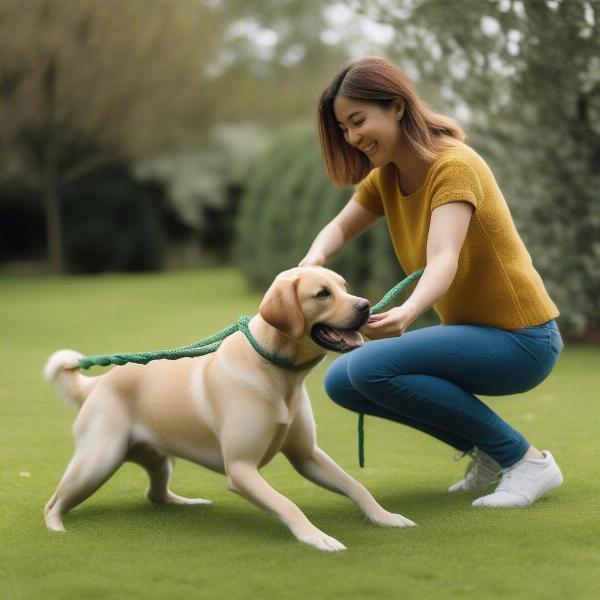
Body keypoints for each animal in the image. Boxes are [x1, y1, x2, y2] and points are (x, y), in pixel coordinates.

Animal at [44, 270, 414, 552]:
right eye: (323, 294)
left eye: (345, 287)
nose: (365, 306)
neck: (279, 373)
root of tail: (98, 382)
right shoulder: (241, 468)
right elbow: (288, 503)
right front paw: (315, 537)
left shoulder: (307, 455)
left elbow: (356, 486)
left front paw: (384, 517)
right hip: (97, 462)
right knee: (53, 502)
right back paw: (56, 527)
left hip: (160, 459)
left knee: (156, 494)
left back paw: (185, 502)